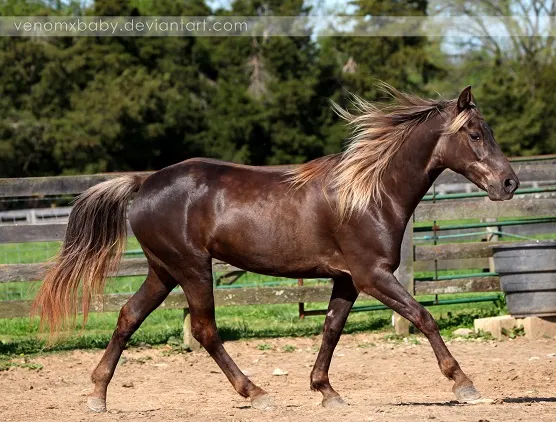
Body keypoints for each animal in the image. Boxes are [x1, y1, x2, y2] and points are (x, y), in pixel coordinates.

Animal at [32, 85, 520, 412]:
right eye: (475, 134)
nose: (510, 183)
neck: (369, 193)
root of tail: (144, 182)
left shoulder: (347, 280)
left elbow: (331, 329)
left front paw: (326, 392)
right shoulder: (373, 276)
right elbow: (424, 317)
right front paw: (464, 384)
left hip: (163, 271)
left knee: (127, 317)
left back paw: (97, 395)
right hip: (192, 270)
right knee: (206, 331)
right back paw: (256, 394)